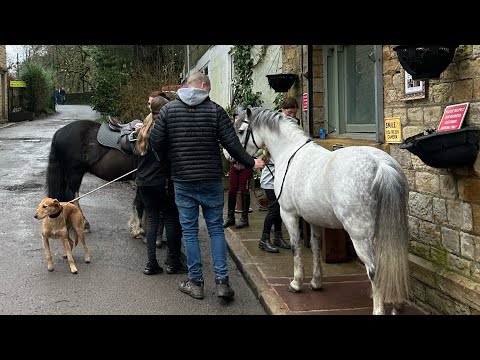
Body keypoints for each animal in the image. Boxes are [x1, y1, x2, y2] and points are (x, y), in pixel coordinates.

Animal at [236, 107, 408, 316]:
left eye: (241, 131)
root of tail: (381, 165)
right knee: (395, 263)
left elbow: (295, 247)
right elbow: (316, 246)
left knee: (374, 270)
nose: (229, 157)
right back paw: (397, 307)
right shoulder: (313, 218)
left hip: (360, 235)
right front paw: (316, 282)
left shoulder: (289, 214)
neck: (289, 153)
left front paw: (296, 283)